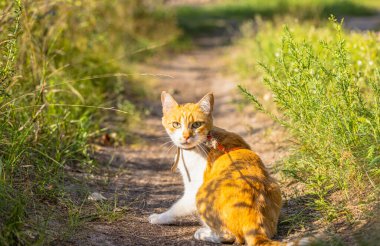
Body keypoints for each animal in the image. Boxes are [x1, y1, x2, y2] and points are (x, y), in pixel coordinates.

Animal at [147, 92, 310, 246]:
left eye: (196, 124)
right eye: (176, 124)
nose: (186, 136)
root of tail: (254, 218)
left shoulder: (192, 190)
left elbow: (176, 208)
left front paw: (159, 217)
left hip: (203, 193)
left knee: (230, 236)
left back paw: (203, 233)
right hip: (274, 185)